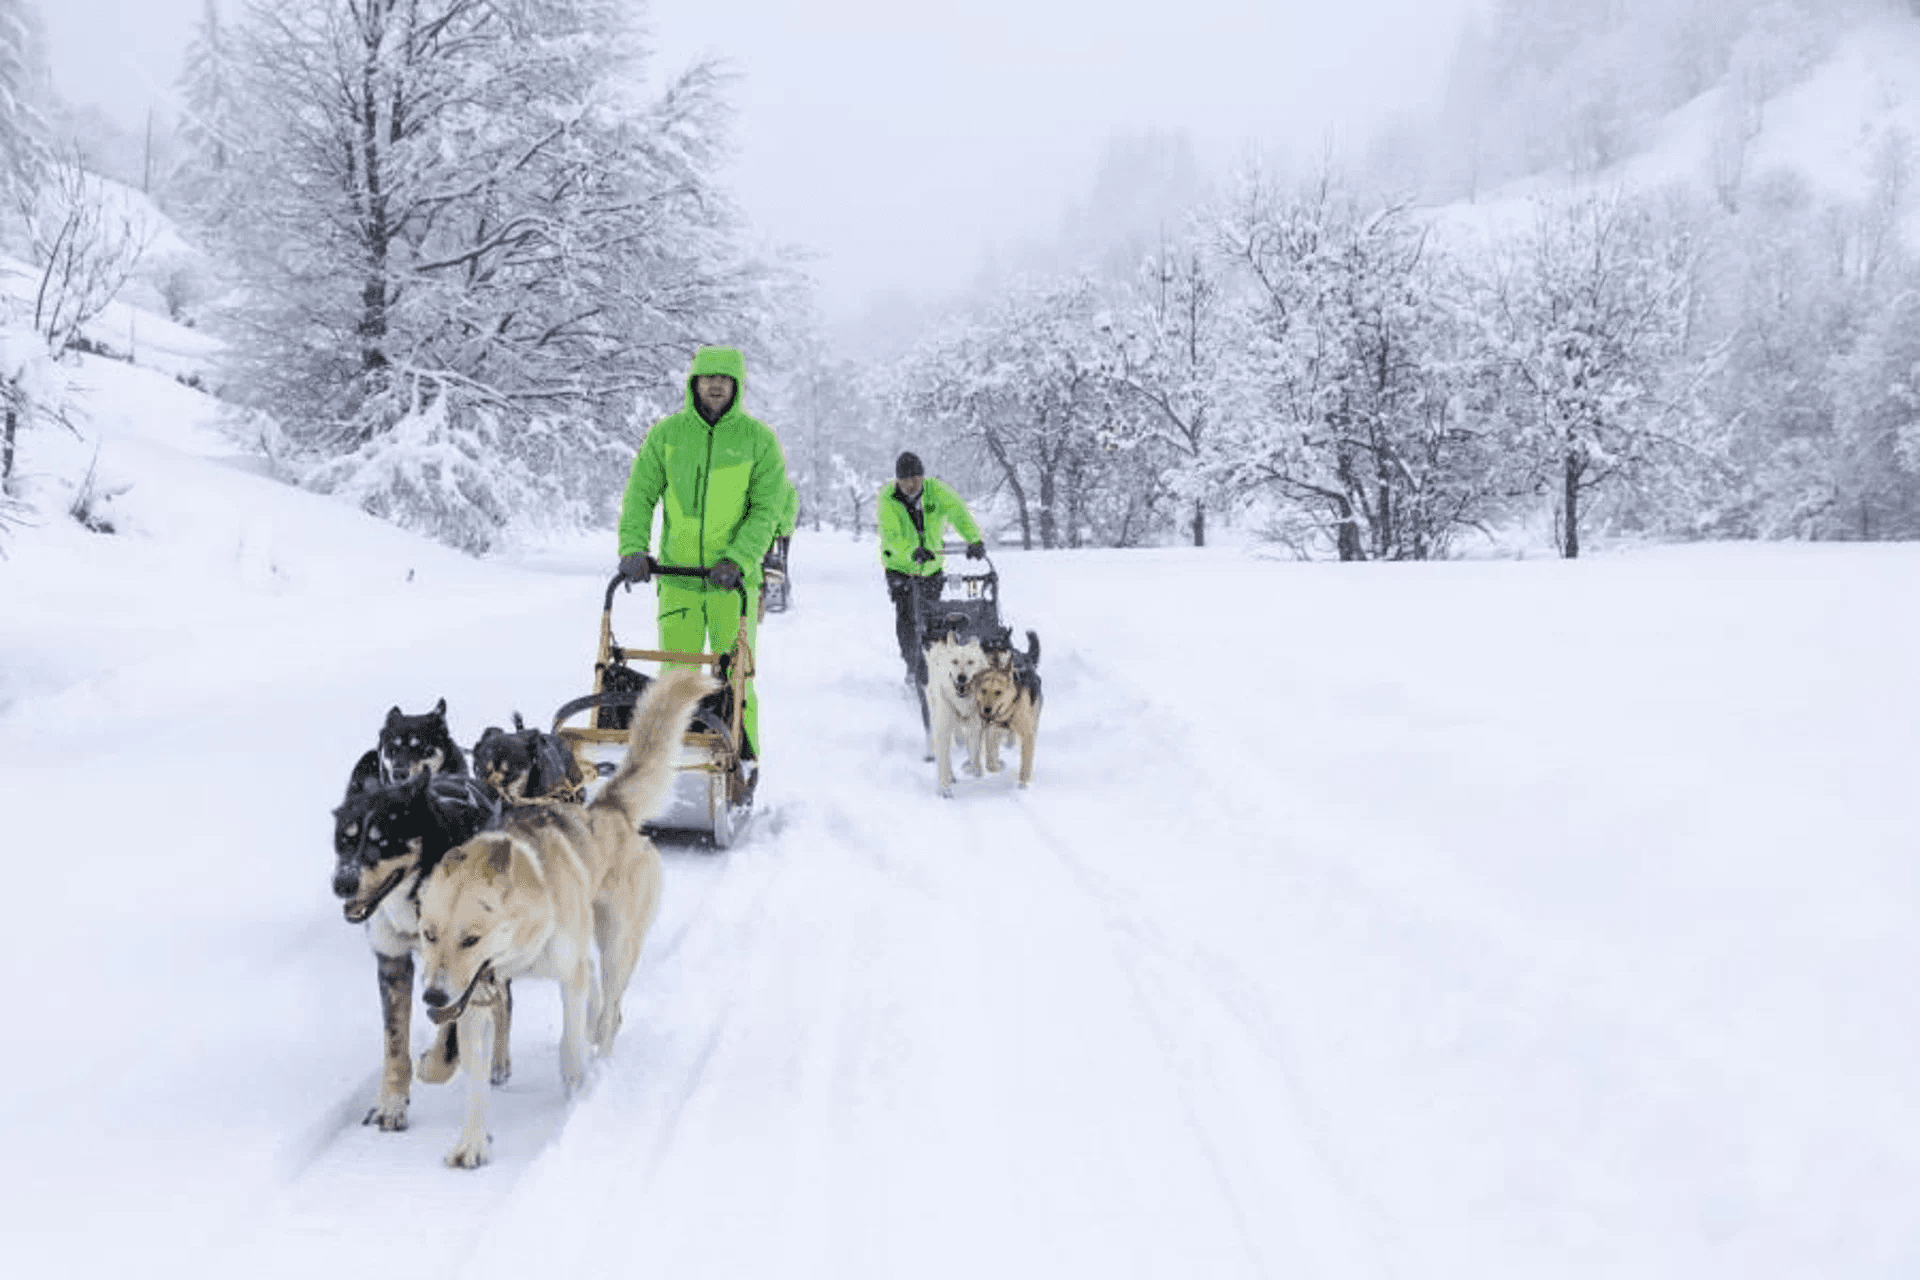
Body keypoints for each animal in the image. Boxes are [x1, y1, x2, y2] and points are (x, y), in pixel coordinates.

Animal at [414, 671, 714, 1174]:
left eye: (471, 938)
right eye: (429, 935)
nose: (433, 997)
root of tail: (608, 808)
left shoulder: (562, 979)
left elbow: (572, 1047)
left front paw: (577, 1091)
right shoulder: (474, 1000)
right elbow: (476, 1082)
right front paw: (473, 1142)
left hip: (617, 947)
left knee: (609, 1010)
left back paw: (602, 1063)